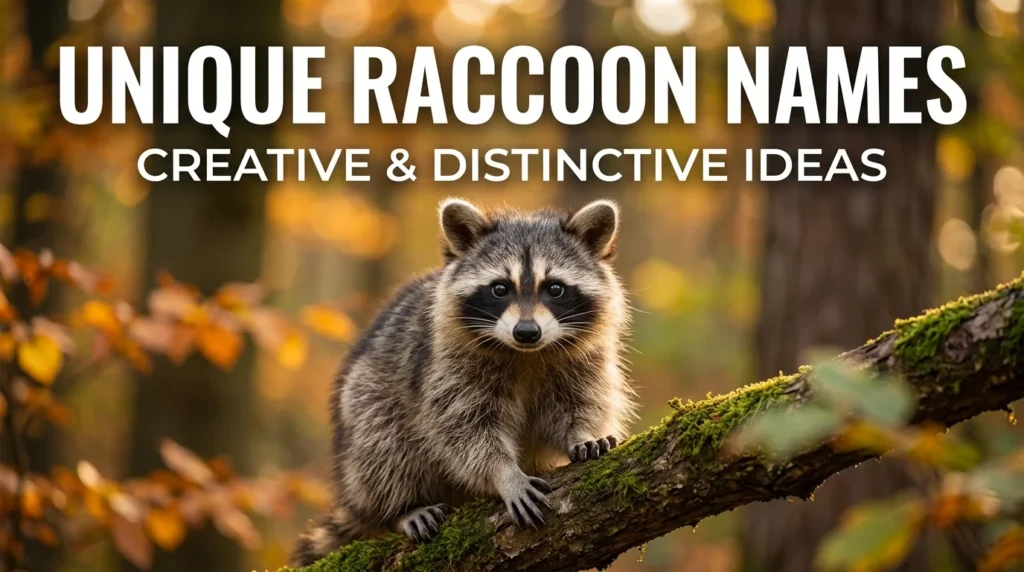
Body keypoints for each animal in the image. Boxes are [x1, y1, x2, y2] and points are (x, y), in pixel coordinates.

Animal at [290, 198, 635, 567]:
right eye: (500, 288)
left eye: (555, 288)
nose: (527, 332)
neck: (526, 353)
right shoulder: (446, 367)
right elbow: (464, 430)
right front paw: (504, 474)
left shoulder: (585, 360)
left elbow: (583, 401)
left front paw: (583, 433)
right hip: (364, 401)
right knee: (383, 445)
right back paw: (401, 508)